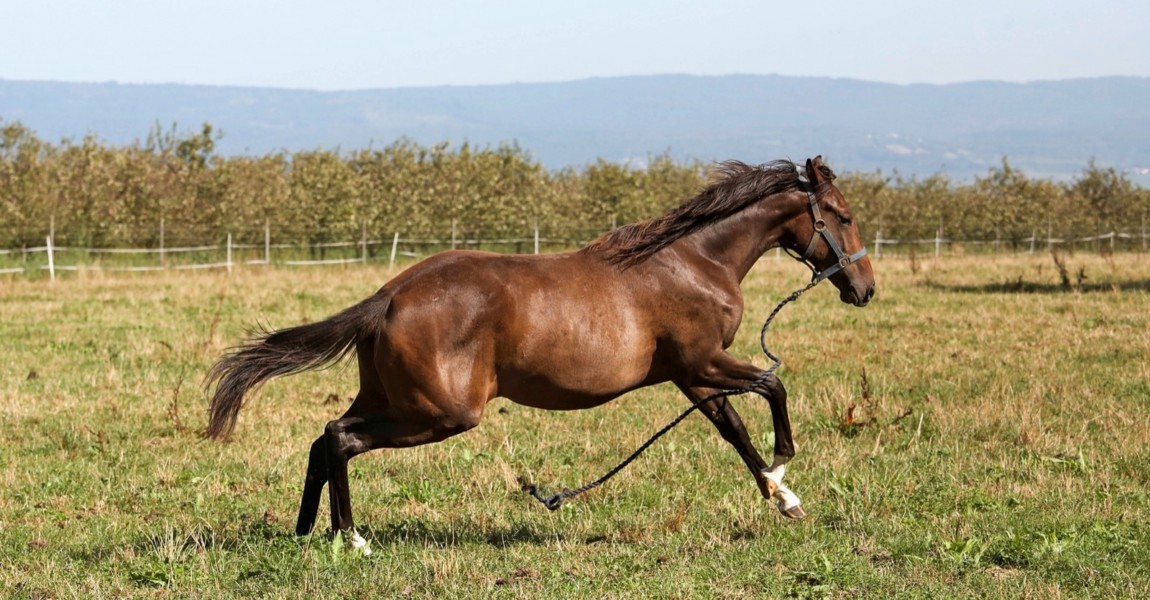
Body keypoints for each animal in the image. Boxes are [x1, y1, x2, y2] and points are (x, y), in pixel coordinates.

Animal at [207, 155, 869, 551]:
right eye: (842, 216)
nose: (864, 290)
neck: (694, 262)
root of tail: (389, 297)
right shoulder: (702, 362)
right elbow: (772, 385)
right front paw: (784, 466)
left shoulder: (692, 376)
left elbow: (732, 428)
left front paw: (783, 499)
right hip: (441, 413)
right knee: (340, 439)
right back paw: (352, 539)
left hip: (391, 397)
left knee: (324, 437)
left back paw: (304, 534)